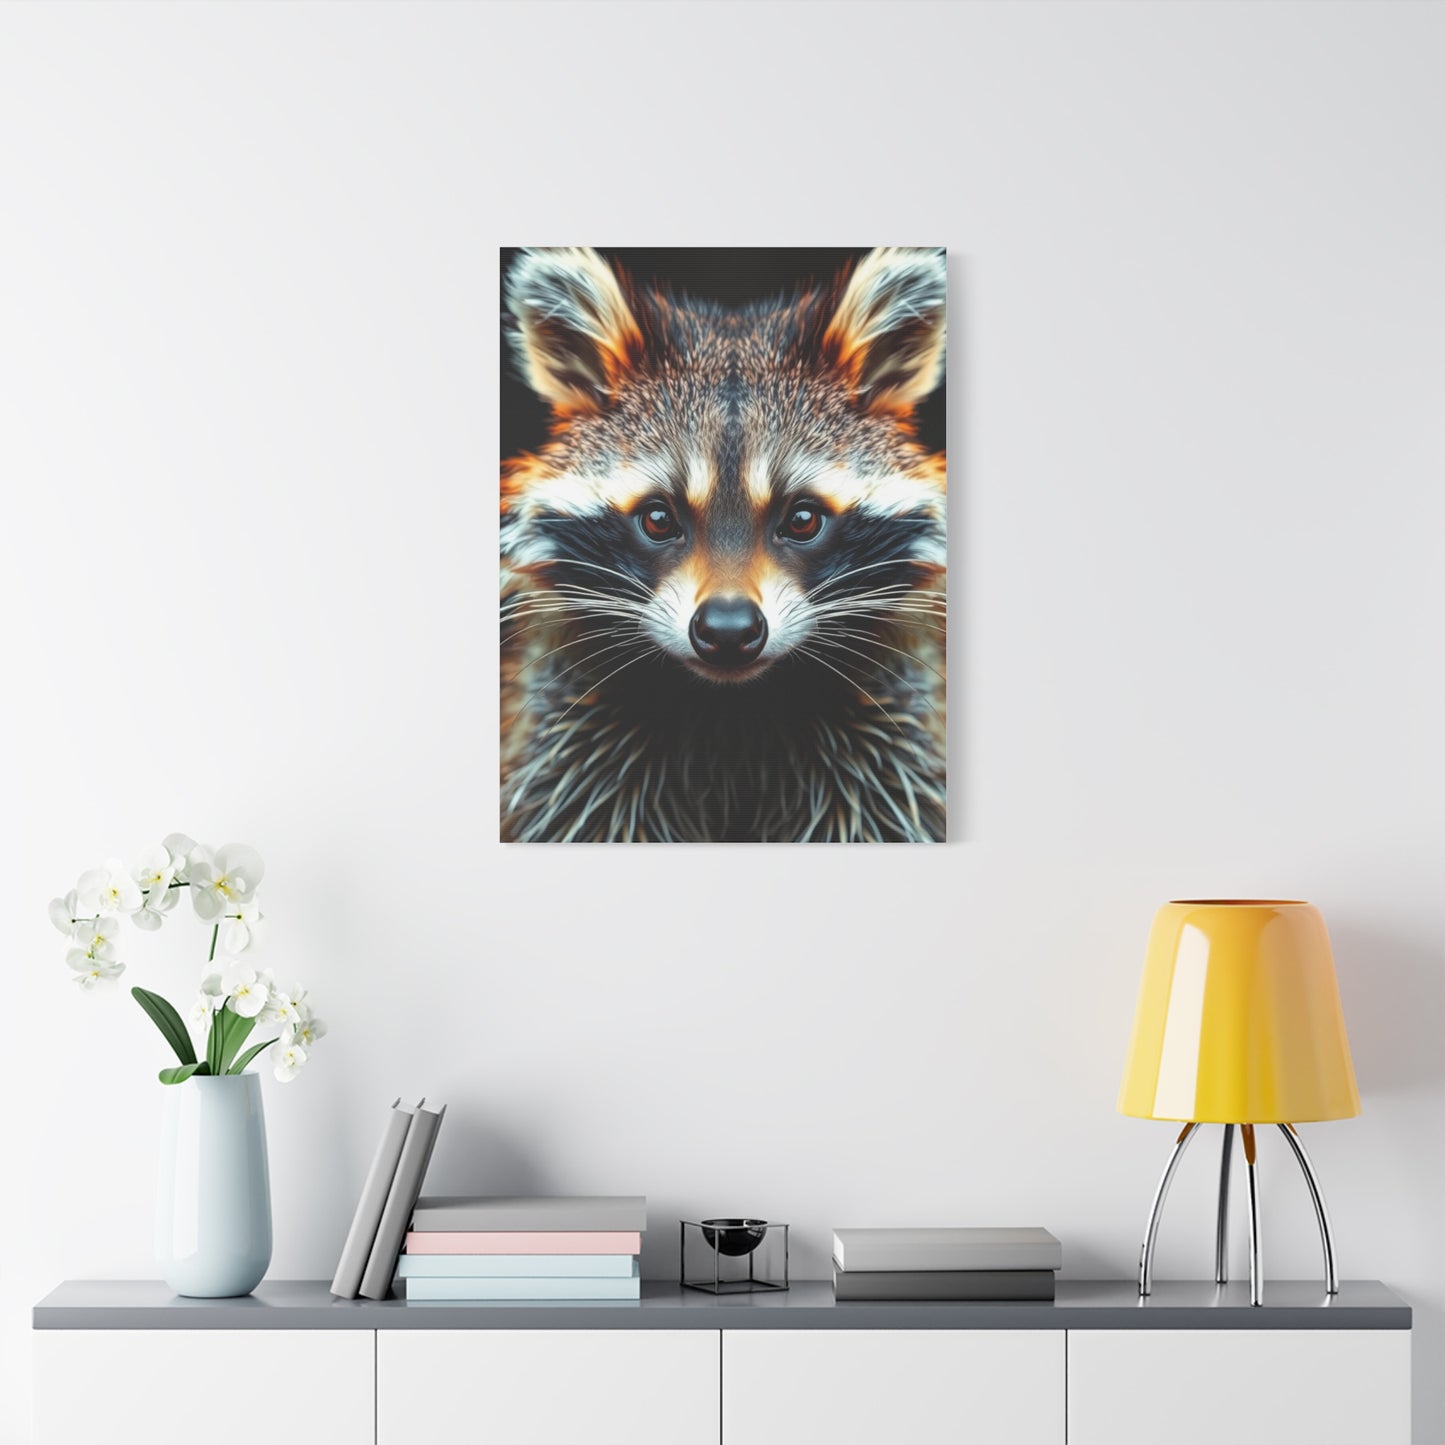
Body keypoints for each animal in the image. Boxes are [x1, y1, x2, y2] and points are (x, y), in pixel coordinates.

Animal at [501, 247, 947, 842]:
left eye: (802, 519)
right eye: (658, 519)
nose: (729, 631)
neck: (731, 717)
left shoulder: (889, 740)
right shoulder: (569, 737)